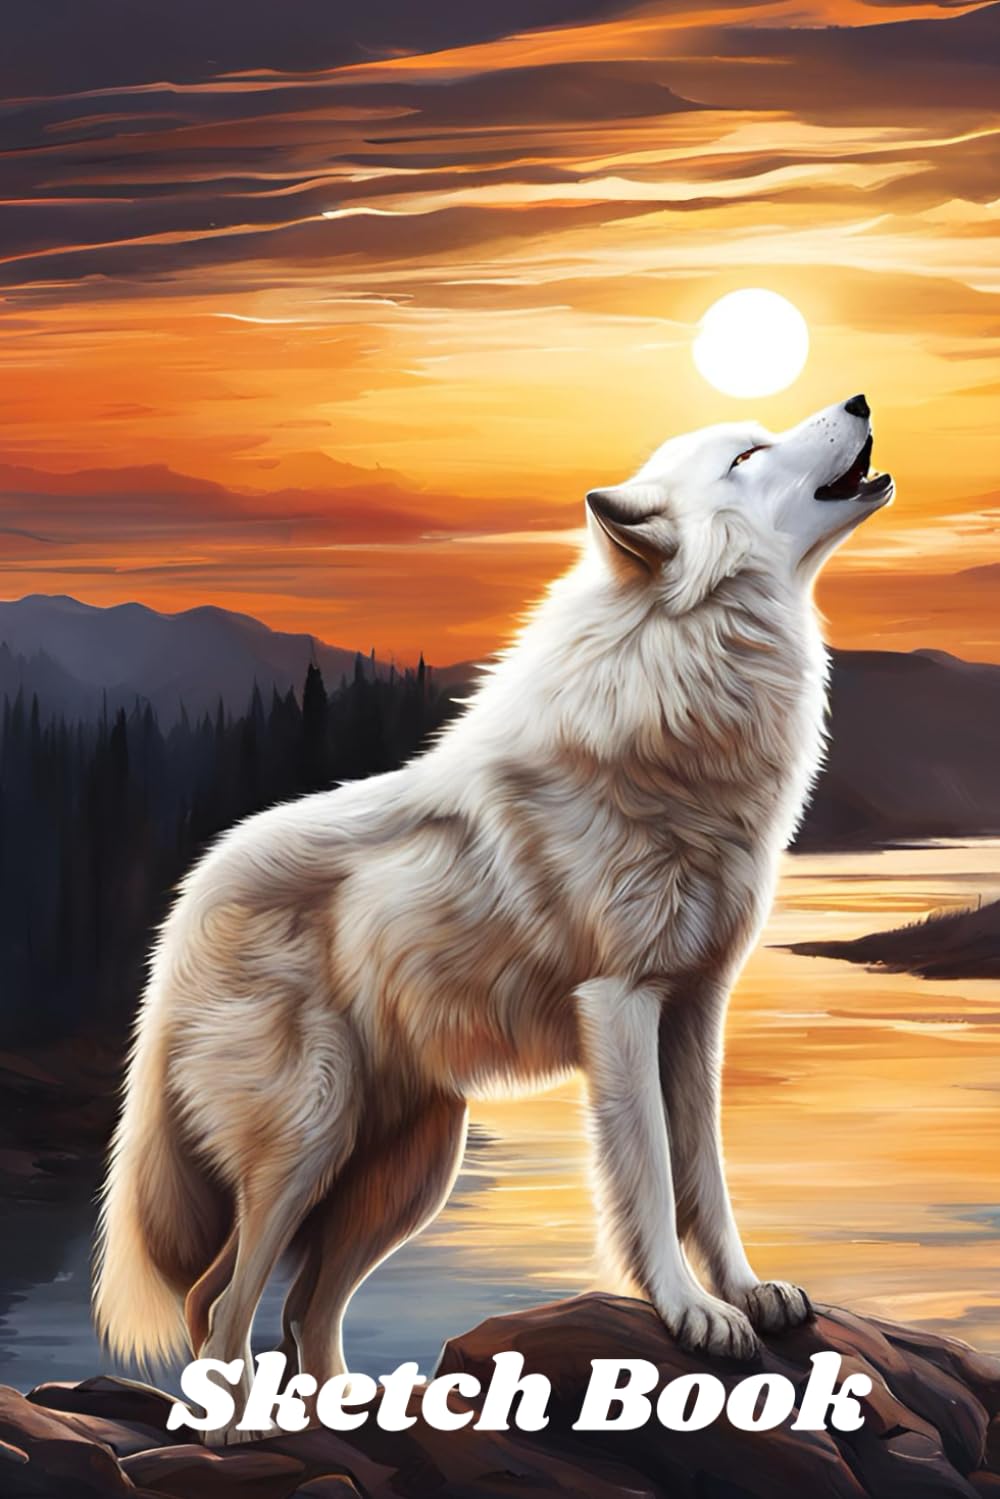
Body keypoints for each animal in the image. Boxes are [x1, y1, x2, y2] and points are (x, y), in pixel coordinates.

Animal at [94, 394, 892, 1427]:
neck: (684, 684)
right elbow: (647, 1177)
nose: (862, 400)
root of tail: (186, 902)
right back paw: (237, 1431)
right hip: (308, 1137)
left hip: (409, 1171)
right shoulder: (621, 1003)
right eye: (748, 455)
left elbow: (707, 1176)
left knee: (302, 1305)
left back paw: (355, 1410)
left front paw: (748, 1290)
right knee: (222, 1296)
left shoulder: (697, 1007)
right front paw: (690, 1312)